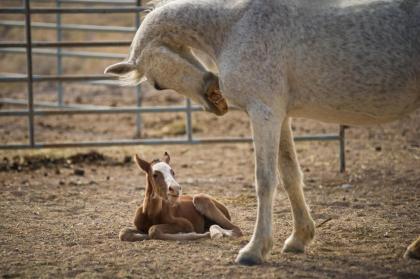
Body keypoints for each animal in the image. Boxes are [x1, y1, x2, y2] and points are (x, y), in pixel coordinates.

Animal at [106, 0, 420, 266]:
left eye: (157, 84)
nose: (216, 103)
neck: (235, 25)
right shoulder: (280, 117)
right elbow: (290, 175)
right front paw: (299, 238)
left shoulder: (263, 113)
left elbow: (265, 181)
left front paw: (254, 251)